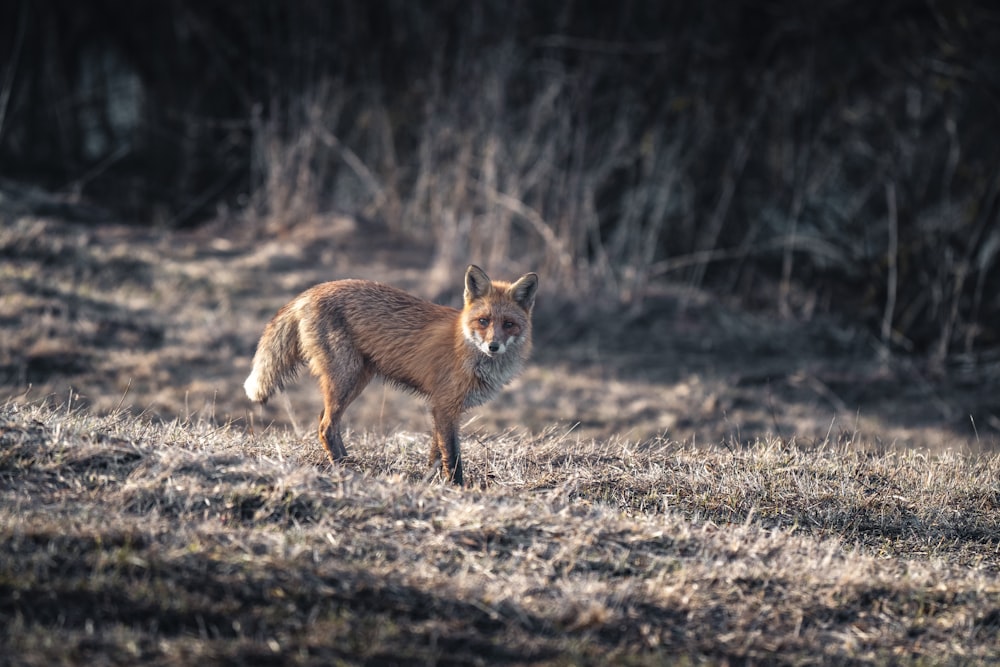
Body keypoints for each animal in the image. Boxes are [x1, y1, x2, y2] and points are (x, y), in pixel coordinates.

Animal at [243, 264, 540, 488]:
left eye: (509, 324)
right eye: (483, 321)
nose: (493, 346)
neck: (466, 348)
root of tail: (311, 291)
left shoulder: (444, 409)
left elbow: (437, 452)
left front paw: (431, 481)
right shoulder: (445, 405)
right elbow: (452, 456)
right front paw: (458, 488)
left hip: (357, 379)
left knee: (326, 422)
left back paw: (348, 462)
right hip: (346, 377)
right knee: (325, 426)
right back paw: (343, 469)